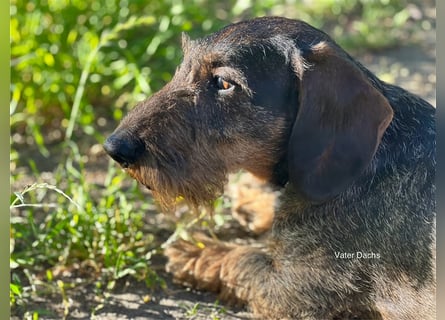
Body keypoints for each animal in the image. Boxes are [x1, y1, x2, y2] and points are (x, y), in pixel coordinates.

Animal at [104, 18, 434, 320]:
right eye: (181, 67)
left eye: (224, 83)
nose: (115, 147)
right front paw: (253, 198)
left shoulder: (293, 290)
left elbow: (240, 259)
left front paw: (196, 251)